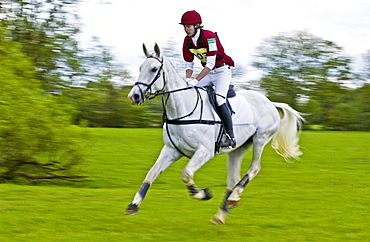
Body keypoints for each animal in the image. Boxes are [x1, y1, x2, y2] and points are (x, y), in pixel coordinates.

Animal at [124, 43, 304, 225]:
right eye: (140, 68)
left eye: (154, 69)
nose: (134, 96)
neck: (183, 110)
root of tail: (270, 103)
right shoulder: (171, 150)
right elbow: (151, 173)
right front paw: (133, 205)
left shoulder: (205, 151)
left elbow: (186, 174)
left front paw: (203, 194)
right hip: (238, 148)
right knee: (232, 180)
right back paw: (222, 213)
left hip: (260, 139)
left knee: (254, 169)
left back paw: (234, 197)